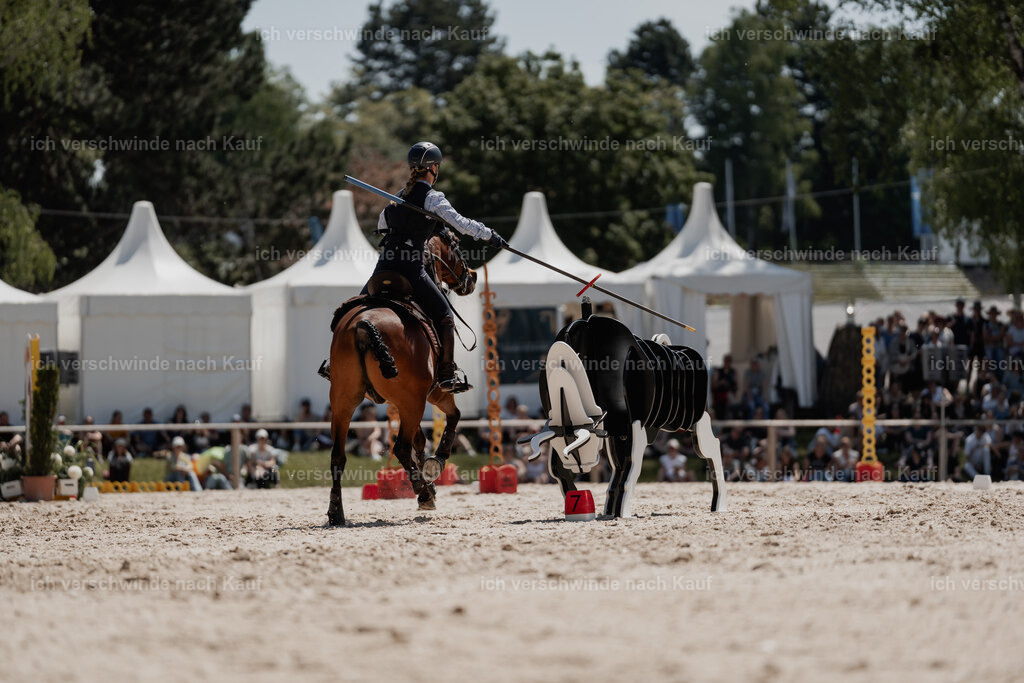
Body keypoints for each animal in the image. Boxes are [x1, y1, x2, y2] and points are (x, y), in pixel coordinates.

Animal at [326, 228, 477, 526]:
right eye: (455, 244)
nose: (472, 277)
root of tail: (363, 324)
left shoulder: (405, 403)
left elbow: (420, 439)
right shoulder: (433, 394)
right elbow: (452, 419)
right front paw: (436, 465)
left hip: (343, 402)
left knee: (338, 455)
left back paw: (336, 512)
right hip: (414, 401)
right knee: (401, 448)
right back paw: (423, 493)